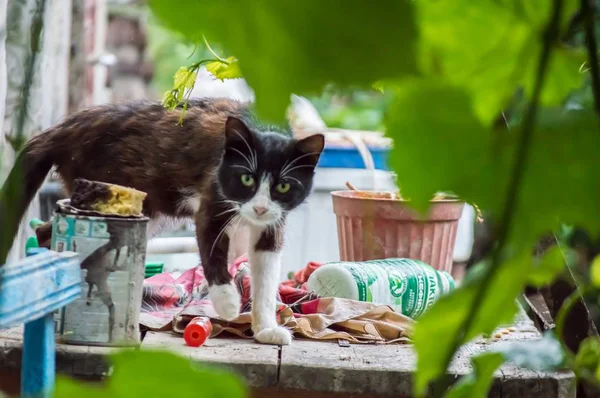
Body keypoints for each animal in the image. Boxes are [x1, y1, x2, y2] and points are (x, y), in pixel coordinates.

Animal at [0, 97, 326, 346]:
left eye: (282, 186)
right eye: (247, 178)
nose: (258, 208)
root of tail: (65, 127)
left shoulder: (273, 222)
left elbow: (267, 274)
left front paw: (266, 329)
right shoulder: (212, 199)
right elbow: (211, 248)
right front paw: (227, 302)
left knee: (47, 232)